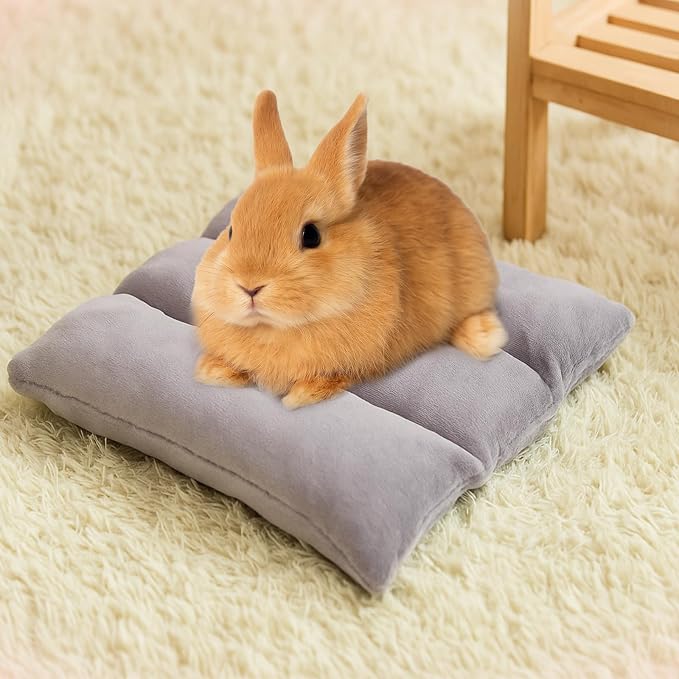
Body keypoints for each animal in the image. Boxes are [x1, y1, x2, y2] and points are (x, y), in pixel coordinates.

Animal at [192, 90, 507, 409]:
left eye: (311, 235)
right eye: (231, 231)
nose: (250, 285)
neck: (273, 328)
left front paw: (302, 396)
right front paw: (212, 372)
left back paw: (486, 338)